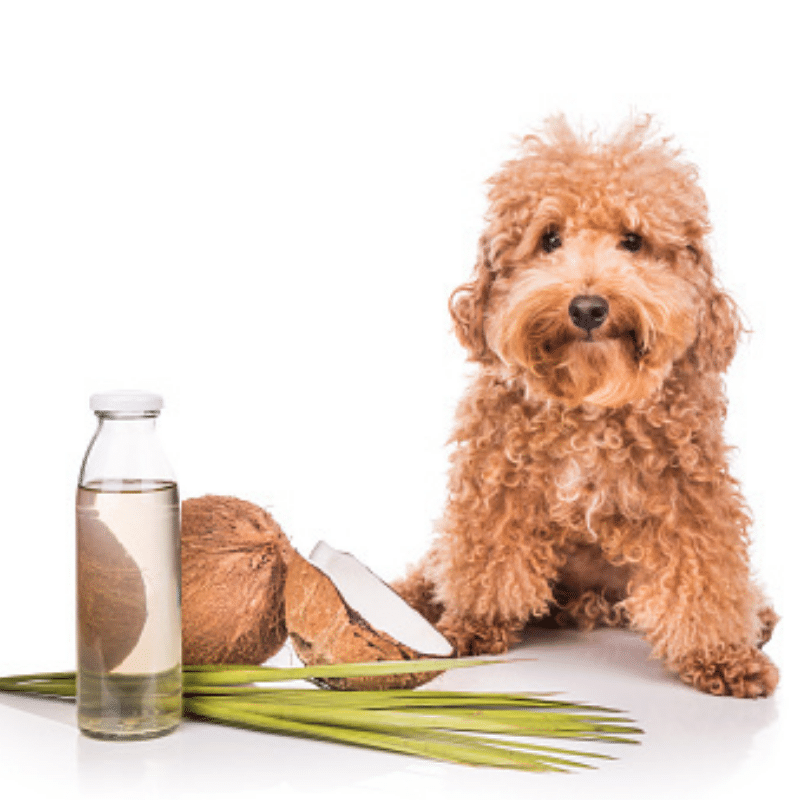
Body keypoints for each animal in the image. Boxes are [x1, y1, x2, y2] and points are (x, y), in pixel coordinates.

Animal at [396, 115, 780, 696]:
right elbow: (483, 562)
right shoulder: (495, 487)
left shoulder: (690, 499)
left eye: (633, 241)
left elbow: (706, 581)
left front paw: (723, 656)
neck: (588, 402)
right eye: (549, 239)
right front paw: (471, 625)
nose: (588, 307)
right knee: (437, 565)